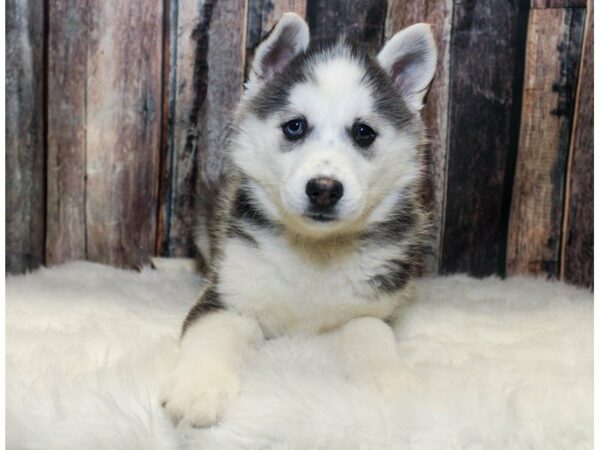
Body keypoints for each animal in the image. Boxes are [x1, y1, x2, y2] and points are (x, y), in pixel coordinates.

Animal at [163, 12, 436, 428]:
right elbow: (213, 336)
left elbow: (372, 333)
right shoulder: (227, 298)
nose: (324, 189)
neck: (314, 251)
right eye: (295, 126)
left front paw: (391, 381)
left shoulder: (369, 309)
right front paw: (198, 390)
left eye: (363, 132)